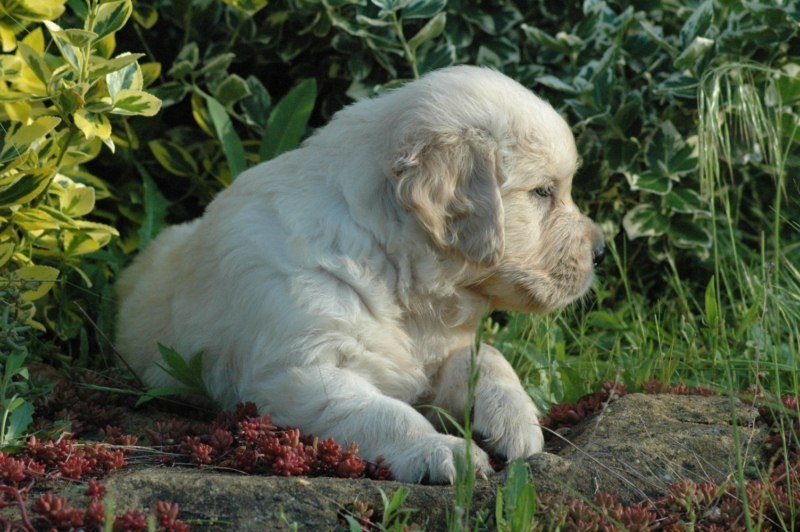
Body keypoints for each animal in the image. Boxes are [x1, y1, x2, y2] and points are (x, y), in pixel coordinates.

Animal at [116, 66, 605, 483]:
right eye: (542, 192)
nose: (601, 250)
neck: (394, 269)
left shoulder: (439, 347)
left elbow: (487, 357)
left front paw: (515, 421)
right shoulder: (297, 373)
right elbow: (385, 414)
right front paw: (441, 450)